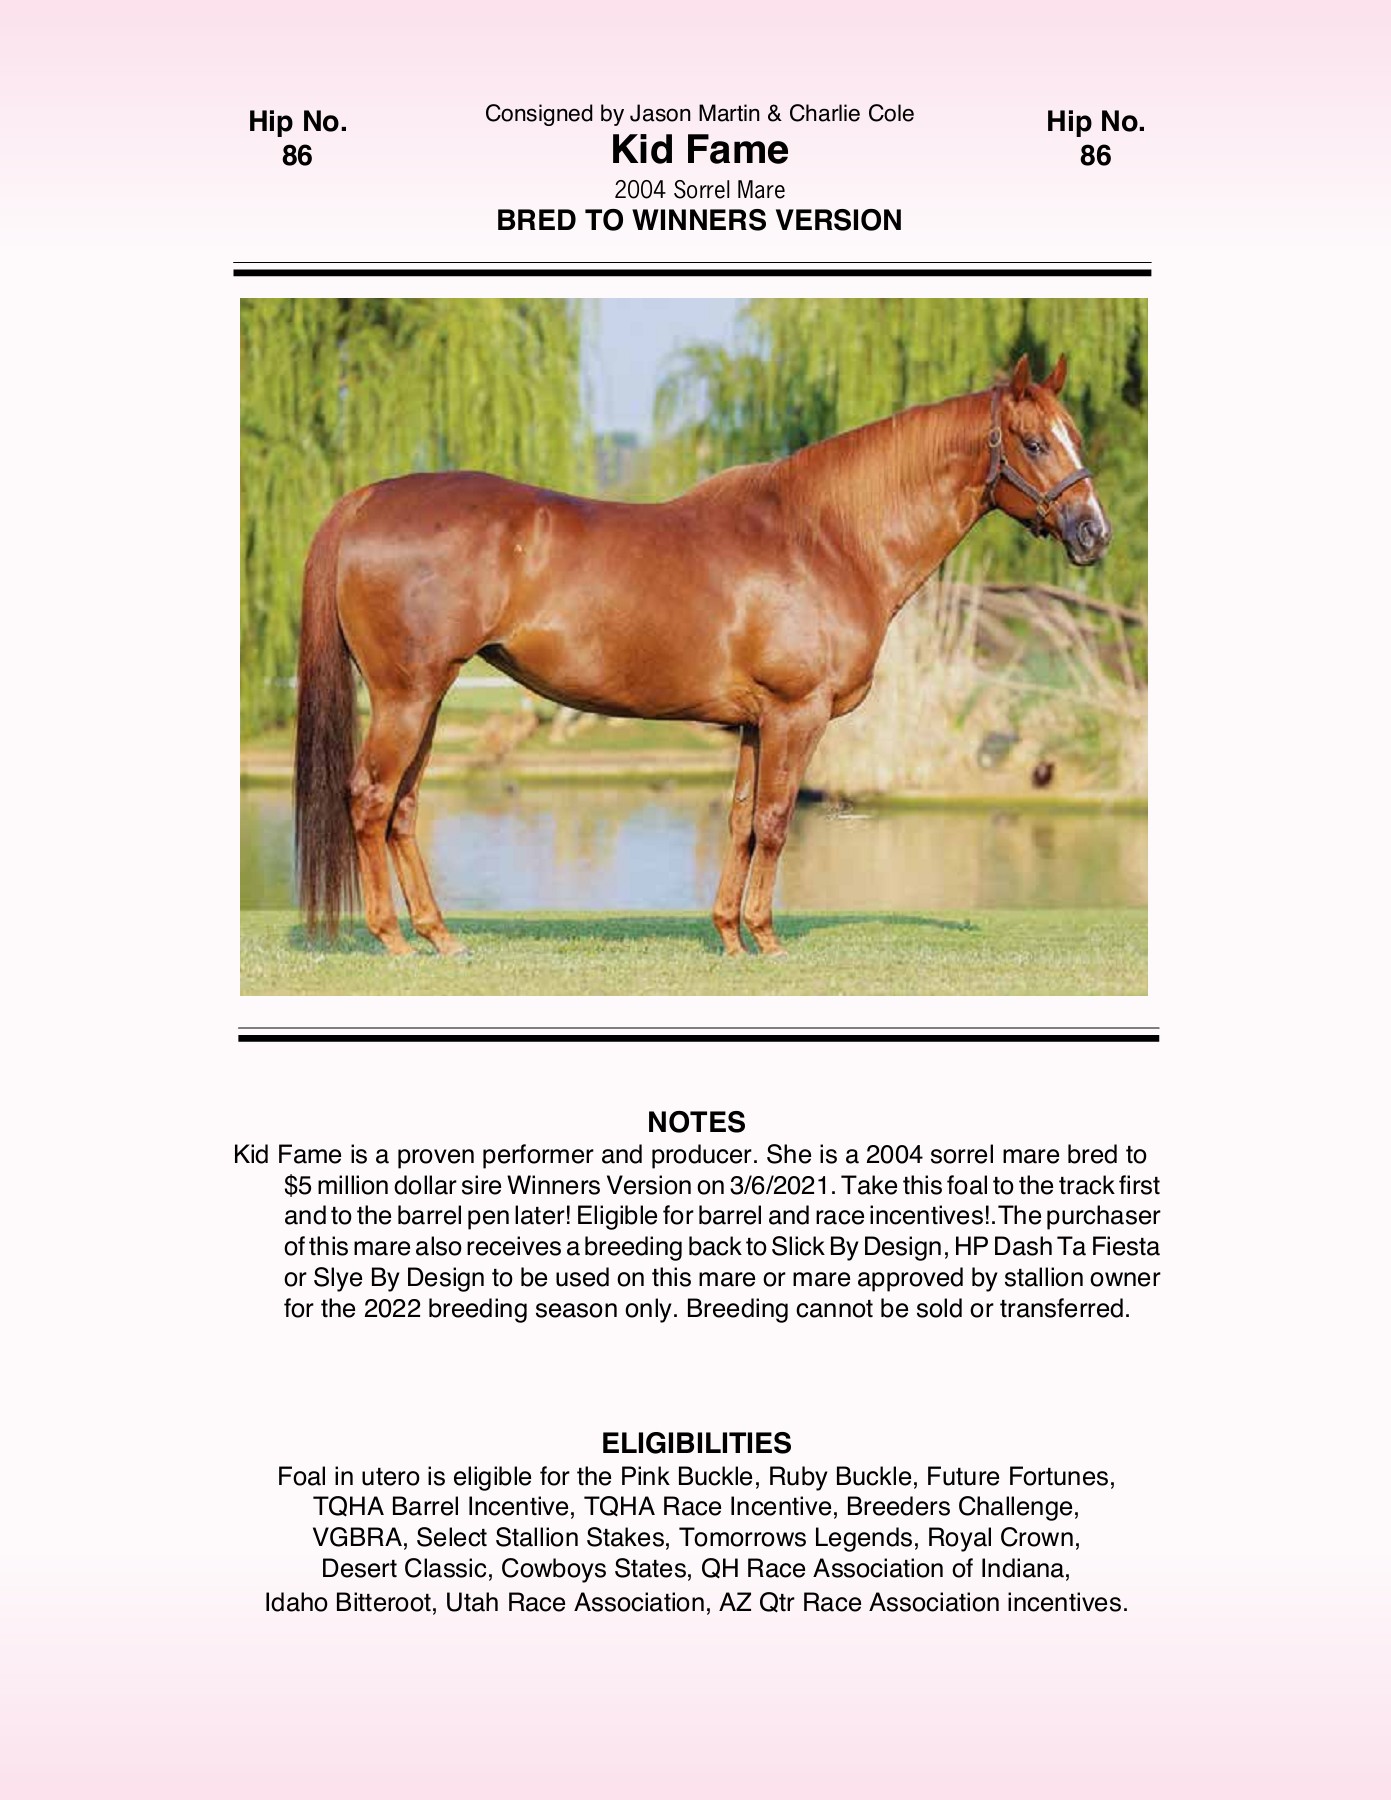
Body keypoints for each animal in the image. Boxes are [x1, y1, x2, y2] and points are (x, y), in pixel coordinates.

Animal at [294, 353, 1111, 958]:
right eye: (1034, 442)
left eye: (1073, 434)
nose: (1092, 533)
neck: (825, 539)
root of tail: (366, 498)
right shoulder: (796, 715)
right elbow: (776, 821)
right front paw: (768, 940)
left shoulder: (754, 723)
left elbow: (740, 821)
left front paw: (730, 936)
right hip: (407, 696)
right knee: (370, 799)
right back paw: (393, 940)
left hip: (426, 698)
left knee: (402, 808)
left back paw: (440, 937)